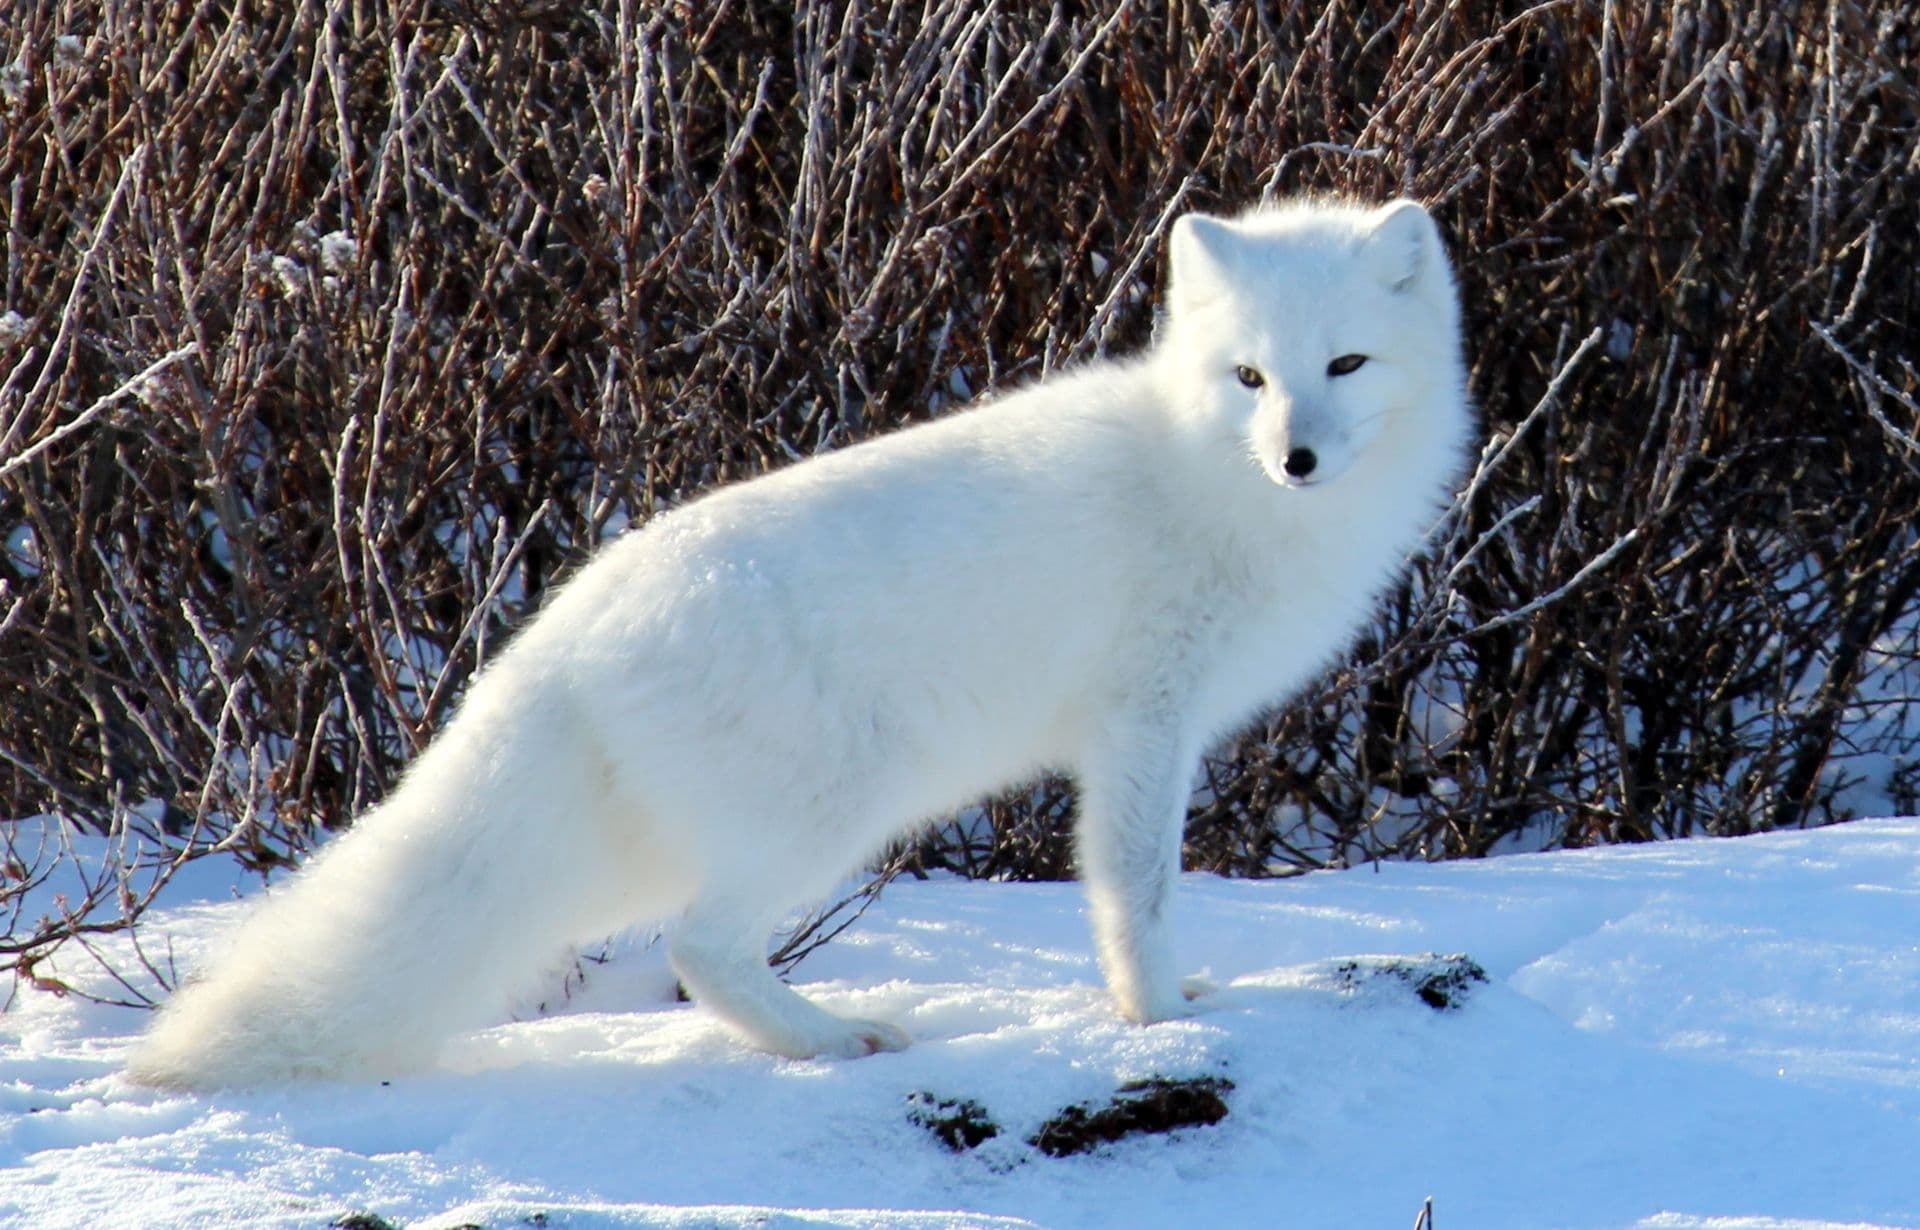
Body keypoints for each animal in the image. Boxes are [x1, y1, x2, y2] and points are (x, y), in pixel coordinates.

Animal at [127, 197, 1472, 1088]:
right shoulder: (1143, 723)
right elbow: (1134, 890)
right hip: (830, 814)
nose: (1297, 457)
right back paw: (834, 1039)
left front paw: (1177, 997)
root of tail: (566, 624)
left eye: (1345, 364)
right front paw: (1156, 1020)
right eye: (1250, 377)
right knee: (702, 948)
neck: (1210, 480)